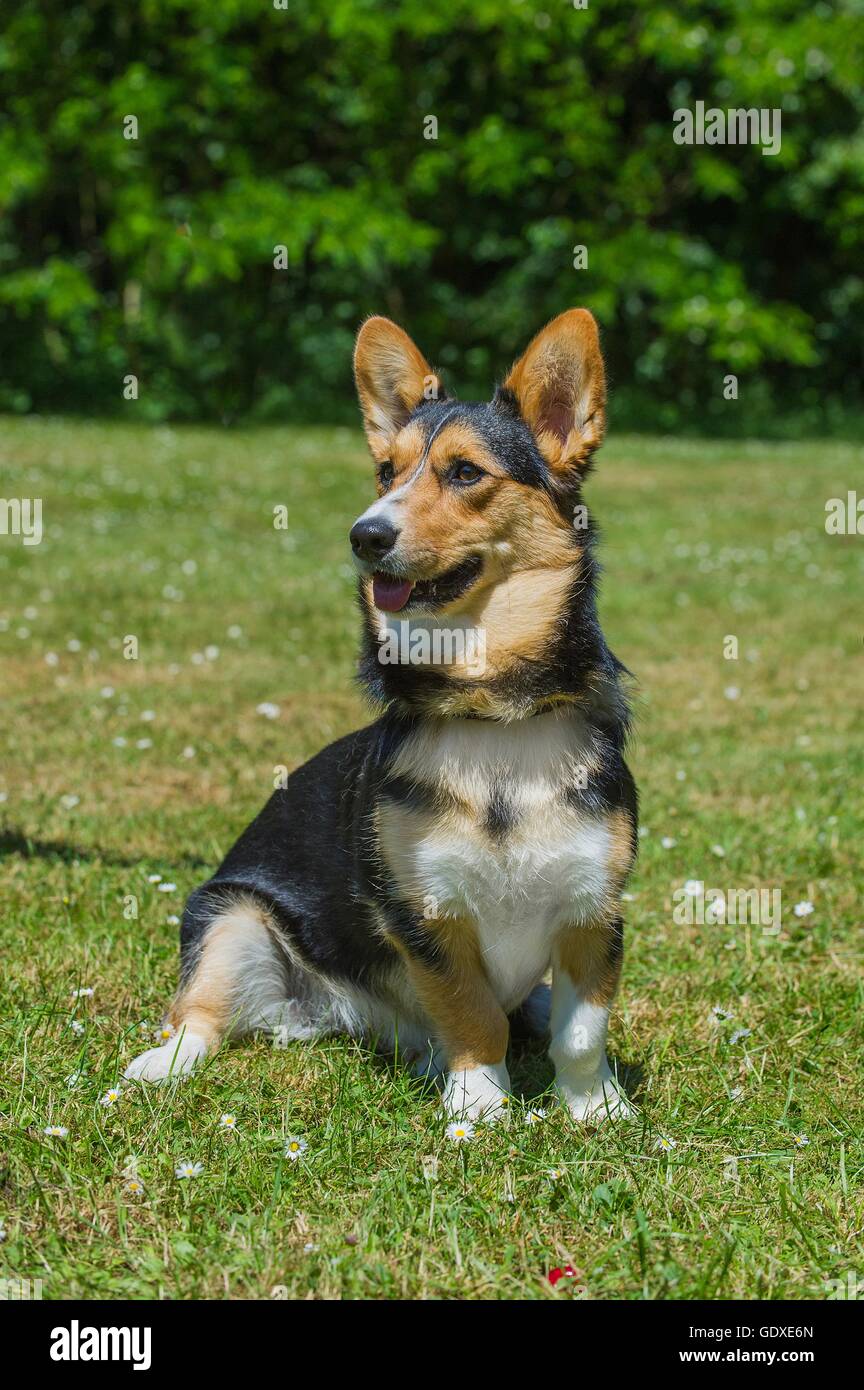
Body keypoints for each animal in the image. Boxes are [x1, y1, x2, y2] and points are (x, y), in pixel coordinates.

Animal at [130, 309, 644, 1123]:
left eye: (465, 473)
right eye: (385, 473)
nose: (363, 535)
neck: (492, 714)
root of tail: (326, 1016)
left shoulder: (594, 911)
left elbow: (582, 1033)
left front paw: (596, 1111)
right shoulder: (423, 915)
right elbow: (473, 1013)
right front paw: (479, 1110)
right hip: (229, 918)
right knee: (199, 1016)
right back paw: (159, 1065)